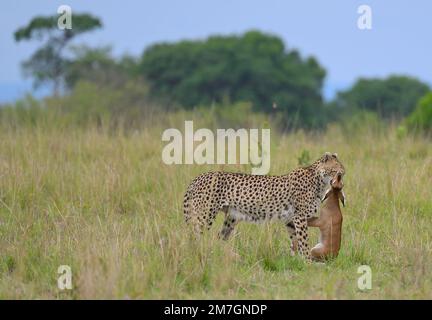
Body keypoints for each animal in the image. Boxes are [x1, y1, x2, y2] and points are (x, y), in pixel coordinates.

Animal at [182, 152, 344, 260]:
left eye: (342, 172)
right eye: (336, 171)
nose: (341, 177)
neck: (319, 180)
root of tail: (198, 178)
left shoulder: (290, 219)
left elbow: (295, 241)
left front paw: (295, 260)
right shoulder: (300, 217)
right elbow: (303, 241)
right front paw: (307, 261)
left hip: (231, 218)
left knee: (218, 238)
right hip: (204, 216)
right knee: (196, 236)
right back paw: (198, 254)